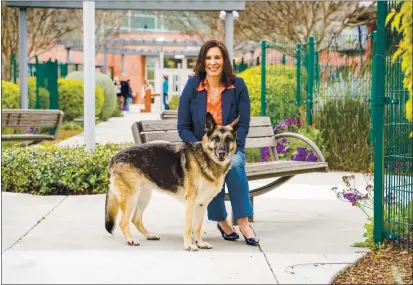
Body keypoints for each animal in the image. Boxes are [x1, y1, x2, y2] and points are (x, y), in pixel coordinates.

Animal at [104, 112, 238, 250]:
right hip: (131, 198)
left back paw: (149, 235)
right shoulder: (190, 202)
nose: (221, 153)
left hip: (143, 197)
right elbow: (189, 227)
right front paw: (189, 245)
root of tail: (114, 157)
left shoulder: (202, 204)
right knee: (123, 222)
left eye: (228, 139)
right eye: (215, 138)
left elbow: (197, 227)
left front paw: (200, 243)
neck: (206, 158)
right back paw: (131, 240)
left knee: (135, 219)